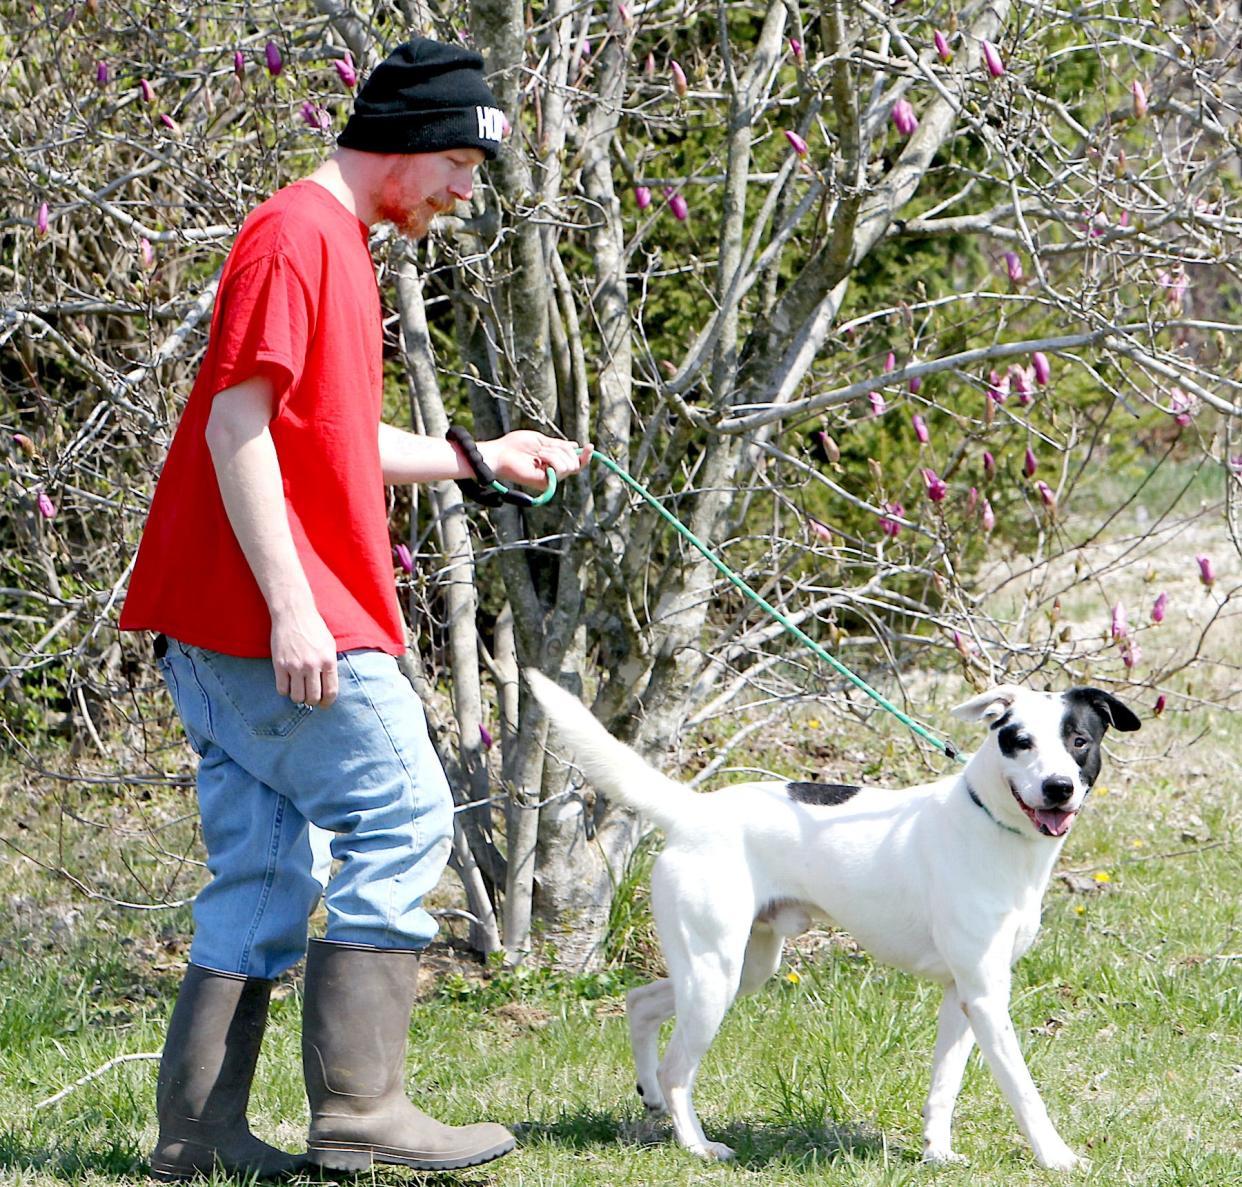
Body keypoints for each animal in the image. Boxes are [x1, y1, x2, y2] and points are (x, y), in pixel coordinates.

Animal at [519, 670, 1137, 1172]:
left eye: (1079, 742)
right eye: (1020, 742)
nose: (1058, 788)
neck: (991, 825)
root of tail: (693, 810)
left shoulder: (964, 995)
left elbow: (944, 1085)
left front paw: (936, 1153)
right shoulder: (987, 997)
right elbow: (1023, 1089)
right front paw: (1056, 1157)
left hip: (740, 970)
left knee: (641, 1003)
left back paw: (648, 1093)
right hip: (715, 977)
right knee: (678, 1069)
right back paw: (697, 1146)